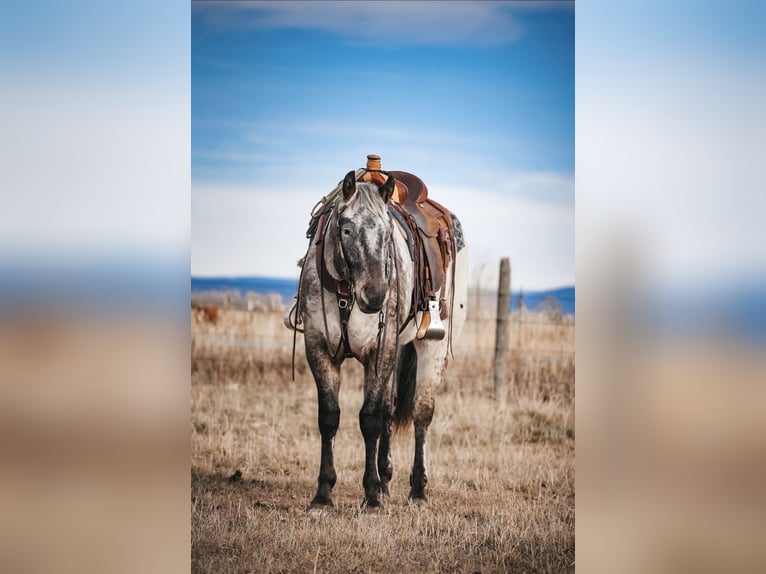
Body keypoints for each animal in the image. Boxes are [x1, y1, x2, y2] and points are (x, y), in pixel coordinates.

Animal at [296, 169, 468, 512]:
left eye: (389, 232)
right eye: (346, 229)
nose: (375, 296)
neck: (347, 294)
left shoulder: (378, 351)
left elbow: (370, 419)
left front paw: (372, 496)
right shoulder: (319, 349)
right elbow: (330, 418)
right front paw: (323, 495)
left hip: (432, 349)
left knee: (421, 413)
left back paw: (417, 491)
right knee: (390, 409)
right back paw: (388, 480)